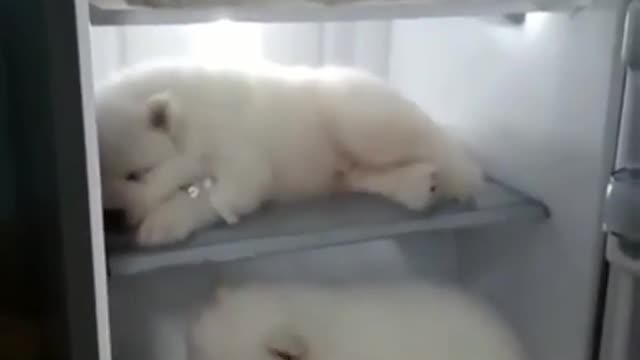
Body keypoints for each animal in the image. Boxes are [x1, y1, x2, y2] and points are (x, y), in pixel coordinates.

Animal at [97, 62, 482, 248]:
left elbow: (211, 196)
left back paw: (457, 176)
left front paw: (163, 223)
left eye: (137, 174)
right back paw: (417, 185)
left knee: (434, 142)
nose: (110, 218)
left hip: (359, 122)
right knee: (365, 174)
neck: (192, 118)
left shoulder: (243, 162)